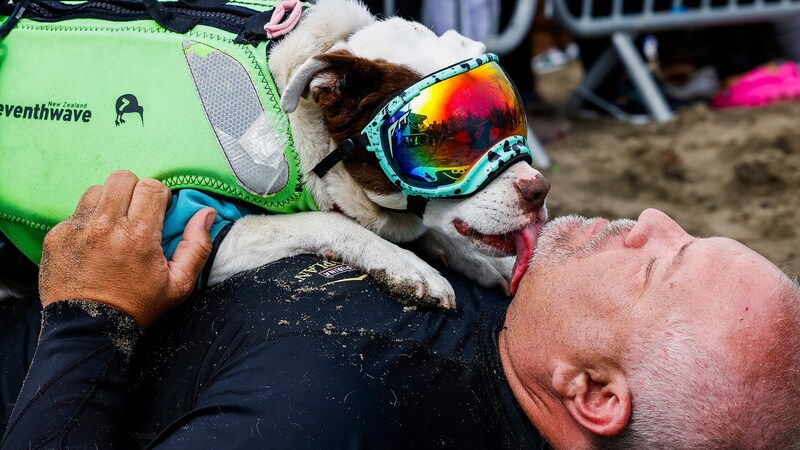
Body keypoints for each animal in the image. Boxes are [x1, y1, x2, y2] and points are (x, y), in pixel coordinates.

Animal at [205, 0, 552, 308]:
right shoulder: (210, 235)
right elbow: (325, 222)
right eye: (447, 140)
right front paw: (405, 264)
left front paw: (480, 259)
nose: (539, 190)